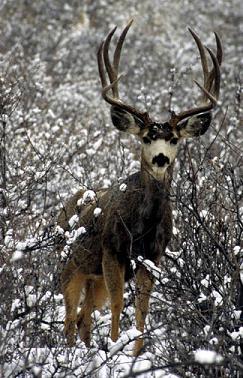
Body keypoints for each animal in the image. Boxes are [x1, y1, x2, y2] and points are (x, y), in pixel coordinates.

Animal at [58, 19, 222, 358]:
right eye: (147, 137)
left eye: (173, 139)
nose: (160, 158)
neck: (142, 225)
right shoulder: (113, 251)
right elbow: (119, 304)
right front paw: (115, 346)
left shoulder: (153, 257)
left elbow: (142, 308)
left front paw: (135, 354)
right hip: (70, 264)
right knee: (69, 318)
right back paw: (69, 354)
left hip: (93, 277)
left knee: (83, 318)